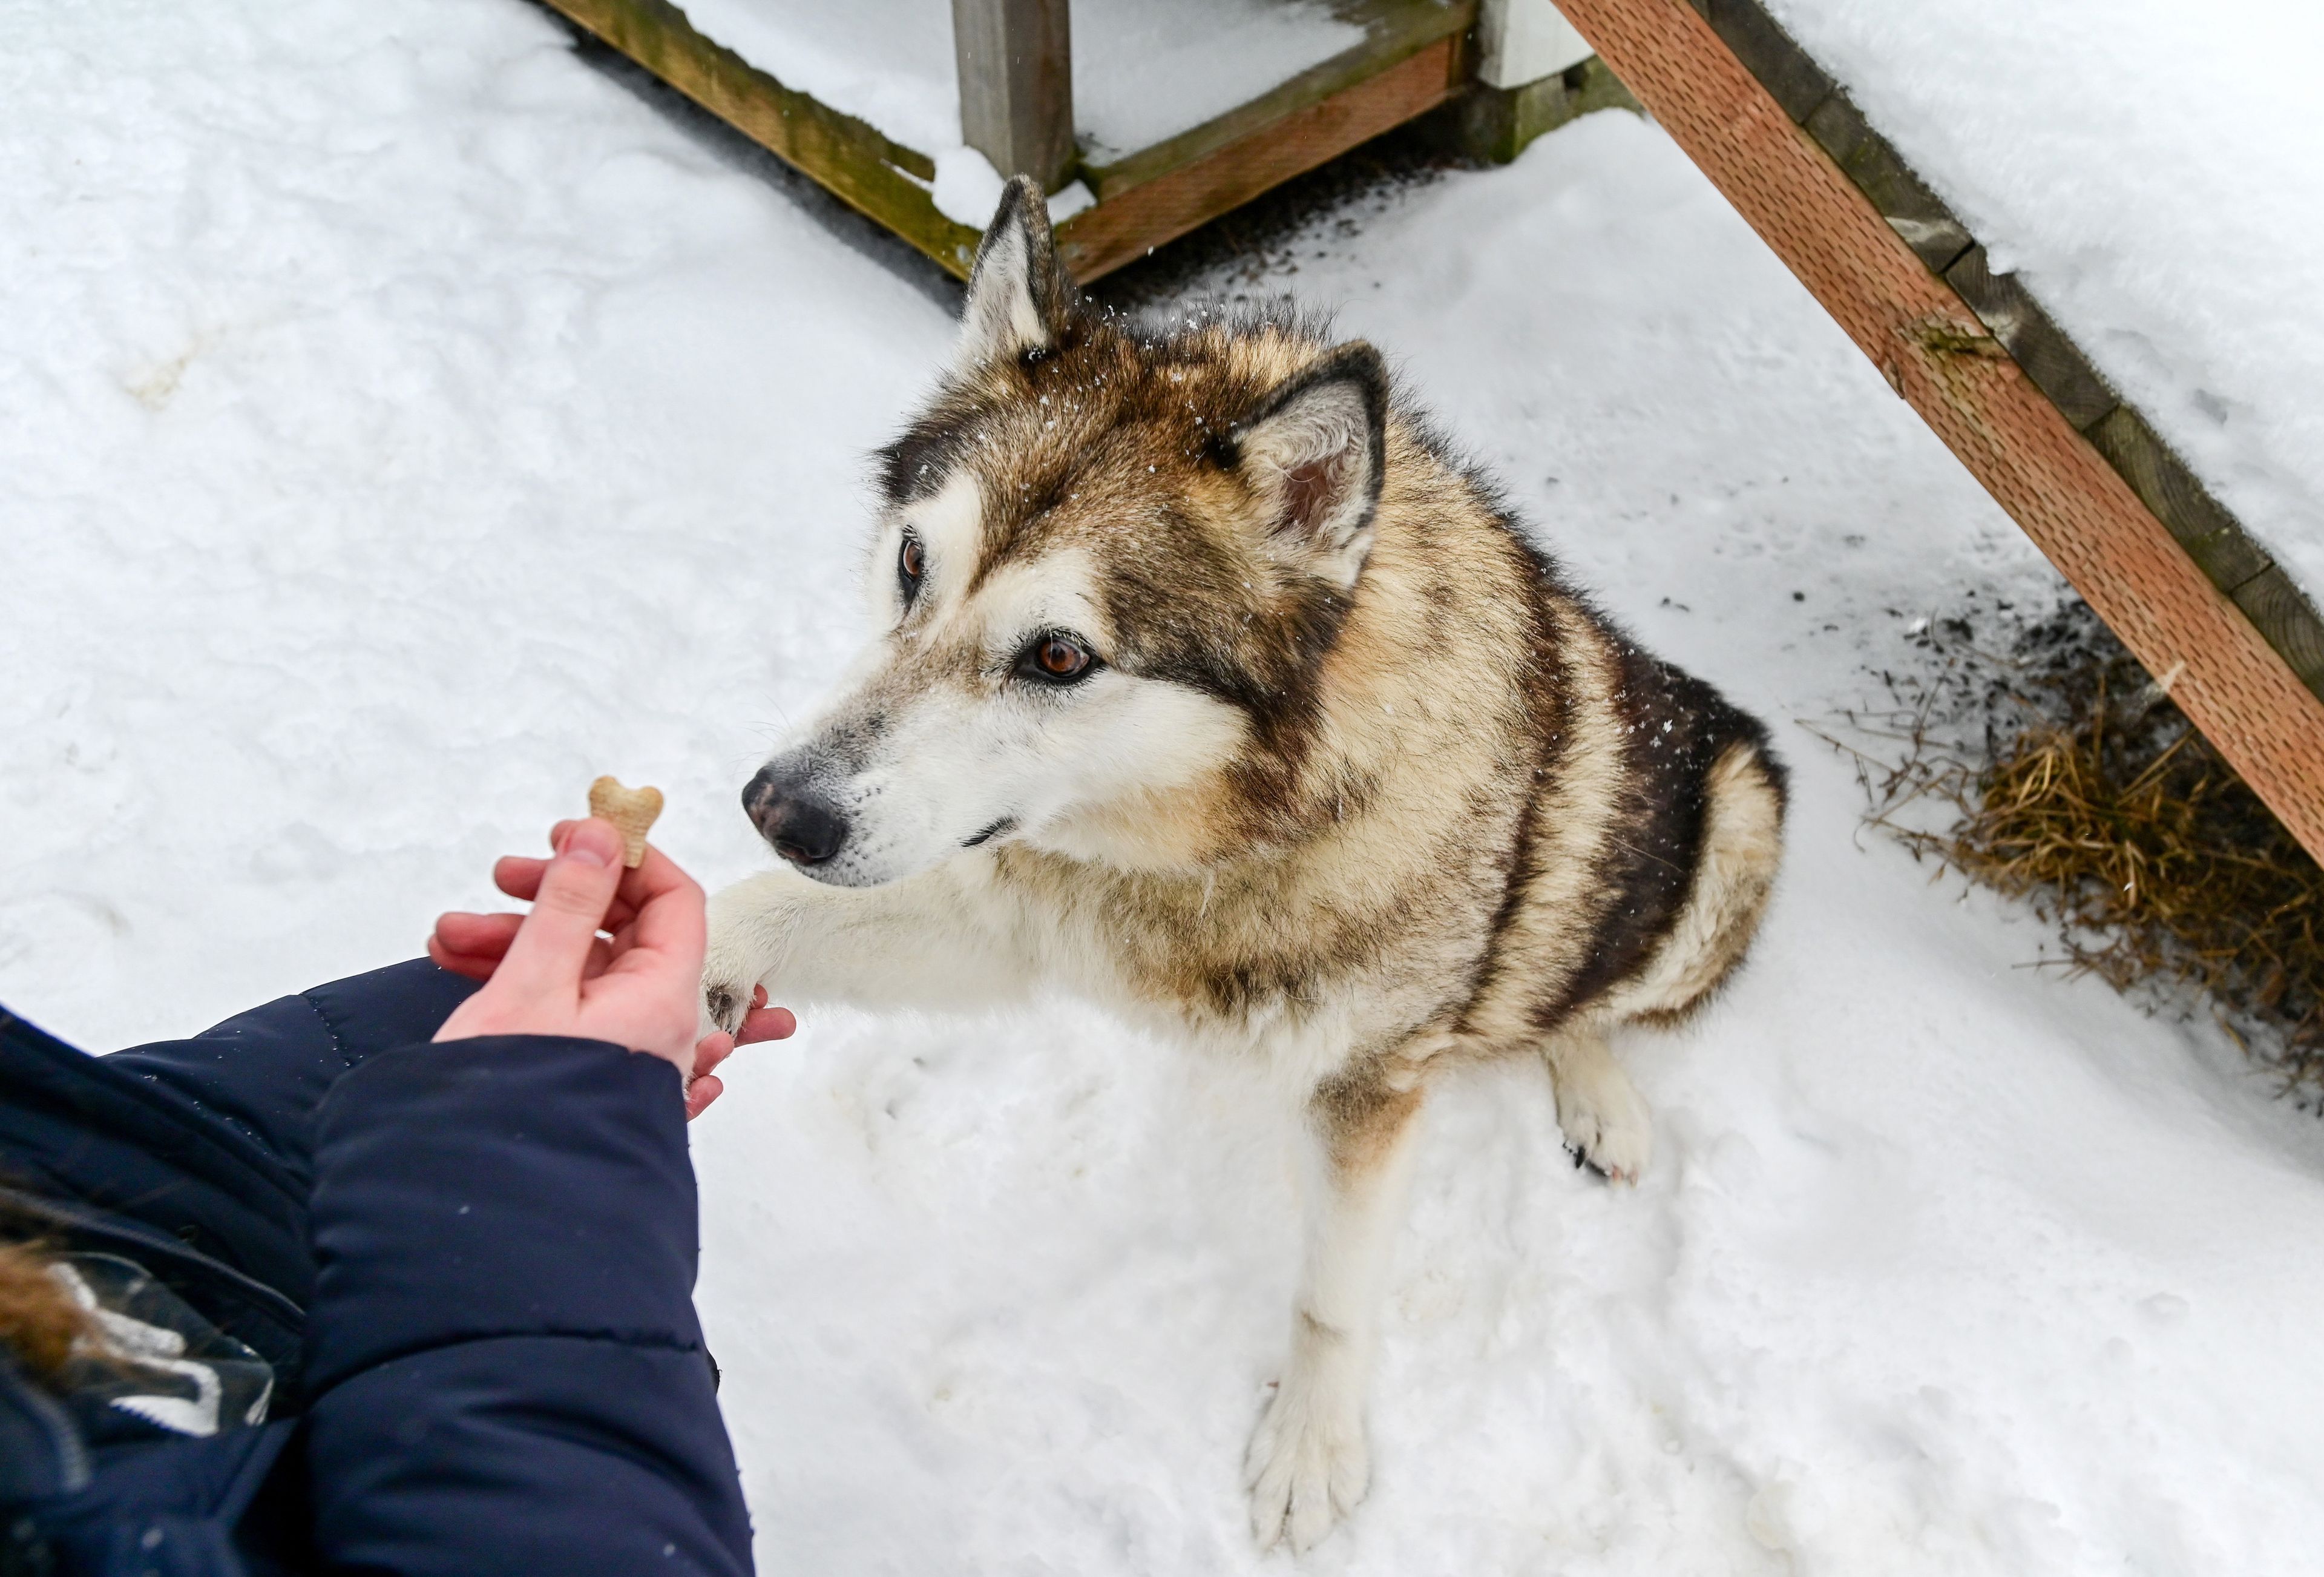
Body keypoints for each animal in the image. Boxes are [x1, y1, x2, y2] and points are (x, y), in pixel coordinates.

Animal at [697, 179, 1785, 1553]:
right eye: (909, 564)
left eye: (1060, 655)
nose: (777, 807)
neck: (1198, 845)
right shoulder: (1002, 911)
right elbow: (761, 912)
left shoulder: (1371, 1087)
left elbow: (1331, 1298)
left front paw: (1311, 1453)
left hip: (1734, 818)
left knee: (1582, 991)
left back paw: (1597, 1090)